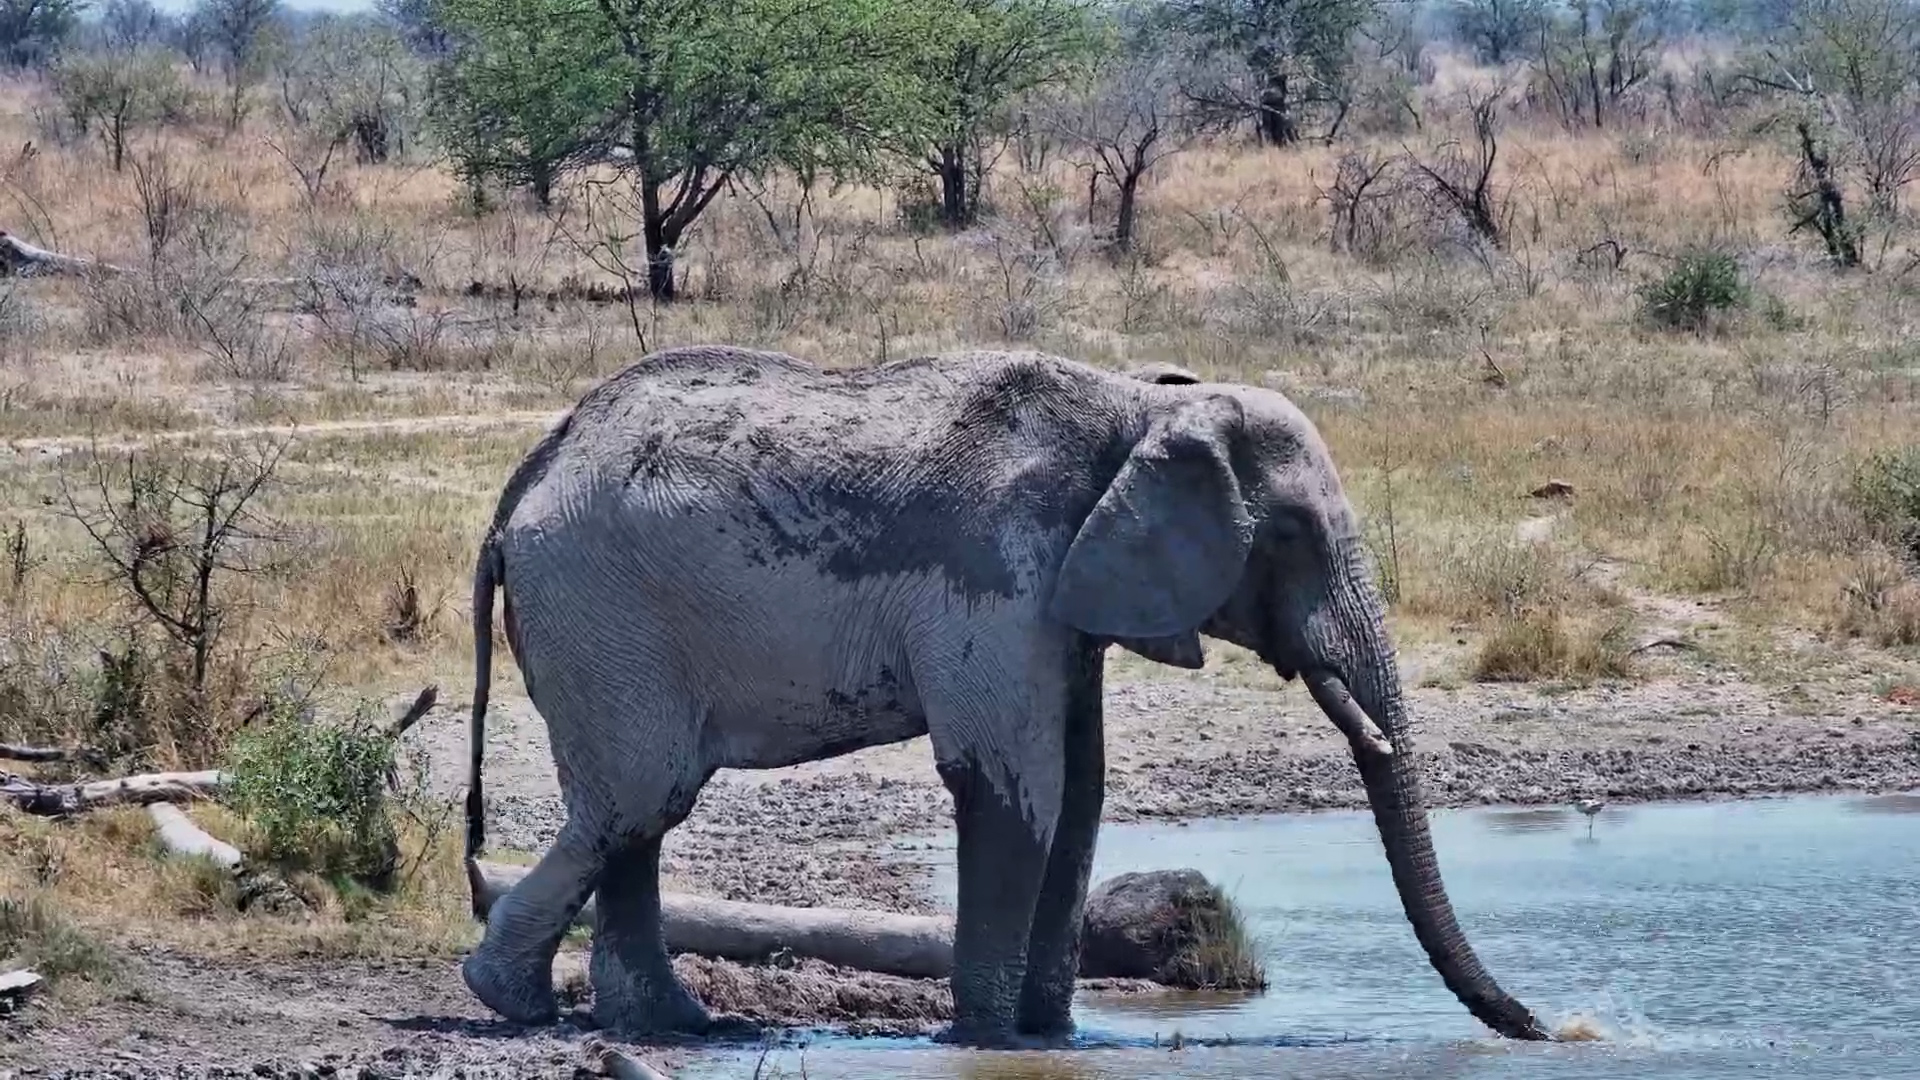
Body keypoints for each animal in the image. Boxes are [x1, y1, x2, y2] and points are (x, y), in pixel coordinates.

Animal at [458, 344, 1556, 1046]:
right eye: (1287, 535)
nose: (1544, 1028)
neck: (1137, 404)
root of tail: (519, 489)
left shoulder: (1066, 594)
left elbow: (1081, 795)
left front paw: (1053, 1037)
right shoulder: (1000, 572)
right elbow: (1011, 782)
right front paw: (989, 1041)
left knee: (640, 812)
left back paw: (670, 1026)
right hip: (602, 610)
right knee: (639, 798)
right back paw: (513, 1001)